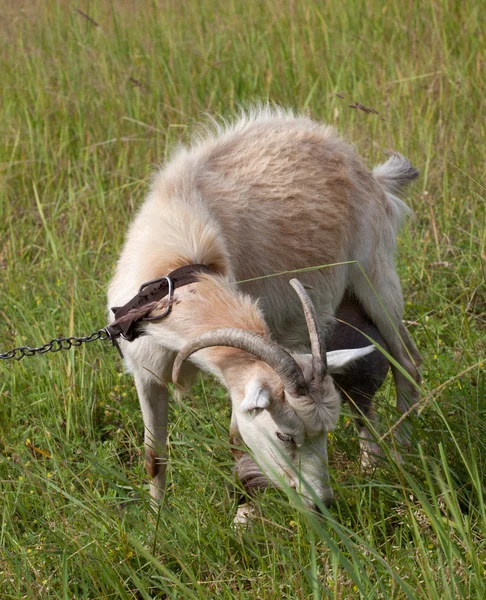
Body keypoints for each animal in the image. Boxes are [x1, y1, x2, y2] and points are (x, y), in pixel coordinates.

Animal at [107, 106, 422, 510]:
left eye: (324, 433)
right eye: (284, 435)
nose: (322, 502)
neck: (176, 275)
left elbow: (236, 442)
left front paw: (244, 513)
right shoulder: (145, 370)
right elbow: (153, 456)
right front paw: (156, 519)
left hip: (376, 280)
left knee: (407, 364)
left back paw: (402, 456)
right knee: (360, 387)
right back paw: (372, 465)